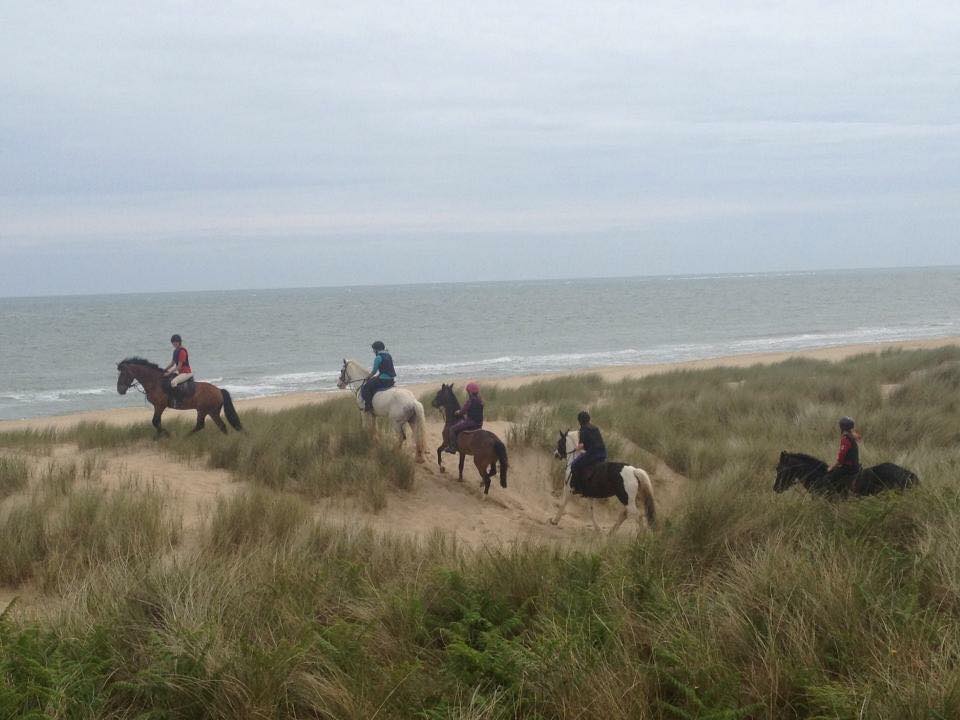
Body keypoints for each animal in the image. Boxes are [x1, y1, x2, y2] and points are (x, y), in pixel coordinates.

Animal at [116, 358, 244, 436]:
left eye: (124, 374)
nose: (119, 390)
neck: (156, 382)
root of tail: (219, 391)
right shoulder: (158, 407)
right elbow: (157, 422)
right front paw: (159, 436)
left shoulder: (159, 406)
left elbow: (155, 421)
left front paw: (166, 434)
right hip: (210, 411)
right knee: (217, 426)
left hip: (206, 410)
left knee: (205, 425)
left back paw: (185, 437)